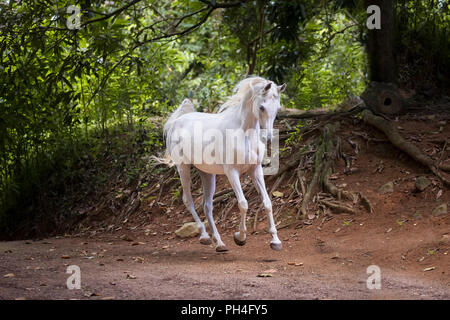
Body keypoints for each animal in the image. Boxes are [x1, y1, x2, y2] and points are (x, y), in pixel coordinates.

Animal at [163, 76, 286, 251]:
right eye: (262, 107)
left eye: (278, 108)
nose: (268, 138)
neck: (243, 132)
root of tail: (175, 122)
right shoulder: (232, 172)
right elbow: (243, 204)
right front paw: (240, 238)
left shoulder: (255, 170)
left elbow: (267, 202)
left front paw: (275, 241)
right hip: (183, 168)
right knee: (188, 200)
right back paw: (205, 236)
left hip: (207, 174)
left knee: (207, 205)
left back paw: (219, 243)